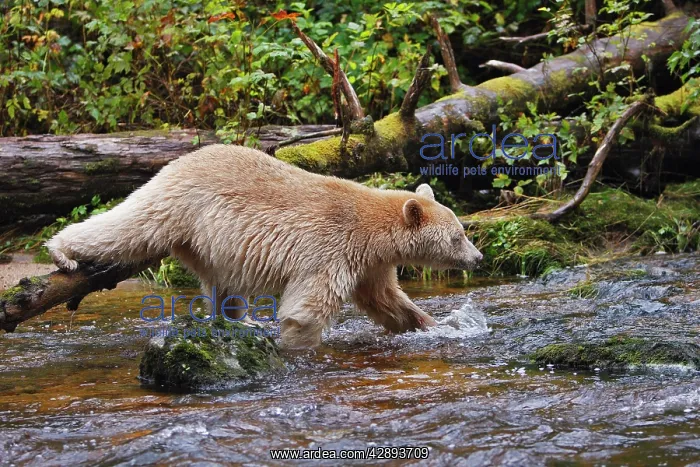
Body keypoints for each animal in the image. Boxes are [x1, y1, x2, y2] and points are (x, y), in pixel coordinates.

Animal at [46, 144, 483, 348]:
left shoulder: (369, 263)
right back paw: (62, 251)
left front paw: (435, 325)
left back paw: (239, 321)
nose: (478, 257)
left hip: (211, 244)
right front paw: (298, 347)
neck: (371, 229)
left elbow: (386, 300)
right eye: (459, 234)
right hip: (179, 204)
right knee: (126, 227)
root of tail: (178, 161)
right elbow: (306, 310)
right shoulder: (331, 248)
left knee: (224, 287)